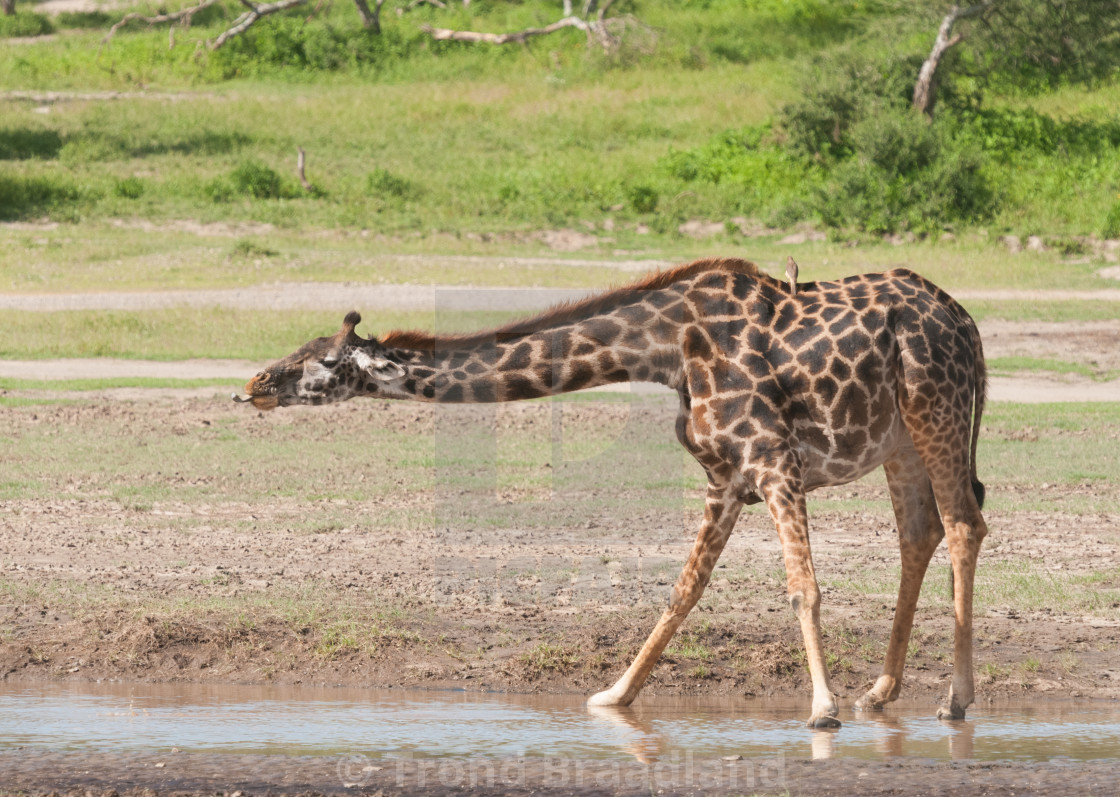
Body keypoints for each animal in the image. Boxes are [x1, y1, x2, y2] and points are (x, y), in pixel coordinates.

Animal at [236, 256, 990, 729]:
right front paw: (615, 695)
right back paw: (882, 691)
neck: (664, 349)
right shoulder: (726, 474)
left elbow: (802, 586)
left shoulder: (773, 458)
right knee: (920, 532)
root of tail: (967, 324)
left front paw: (821, 709)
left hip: (937, 413)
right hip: (899, 441)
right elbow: (683, 589)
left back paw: (954, 699)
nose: (252, 386)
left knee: (963, 525)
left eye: (318, 361)